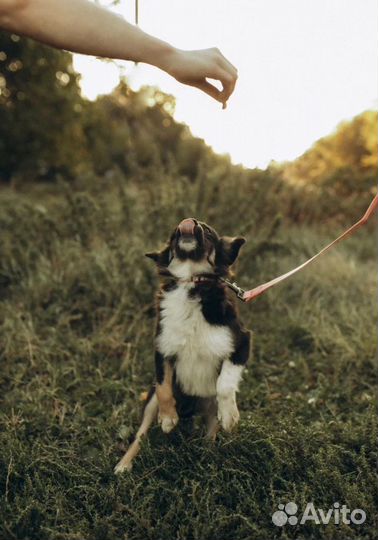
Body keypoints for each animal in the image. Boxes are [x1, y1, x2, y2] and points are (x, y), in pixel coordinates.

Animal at [115, 217, 251, 470]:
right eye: (172, 235)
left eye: (208, 231)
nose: (190, 221)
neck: (191, 282)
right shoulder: (162, 349)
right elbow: (164, 387)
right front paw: (168, 417)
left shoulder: (241, 343)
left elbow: (225, 384)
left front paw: (230, 415)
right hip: (150, 402)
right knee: (140, 435)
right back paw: (124, 464)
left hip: (209, 409)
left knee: (210, 435)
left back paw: (208, 460)